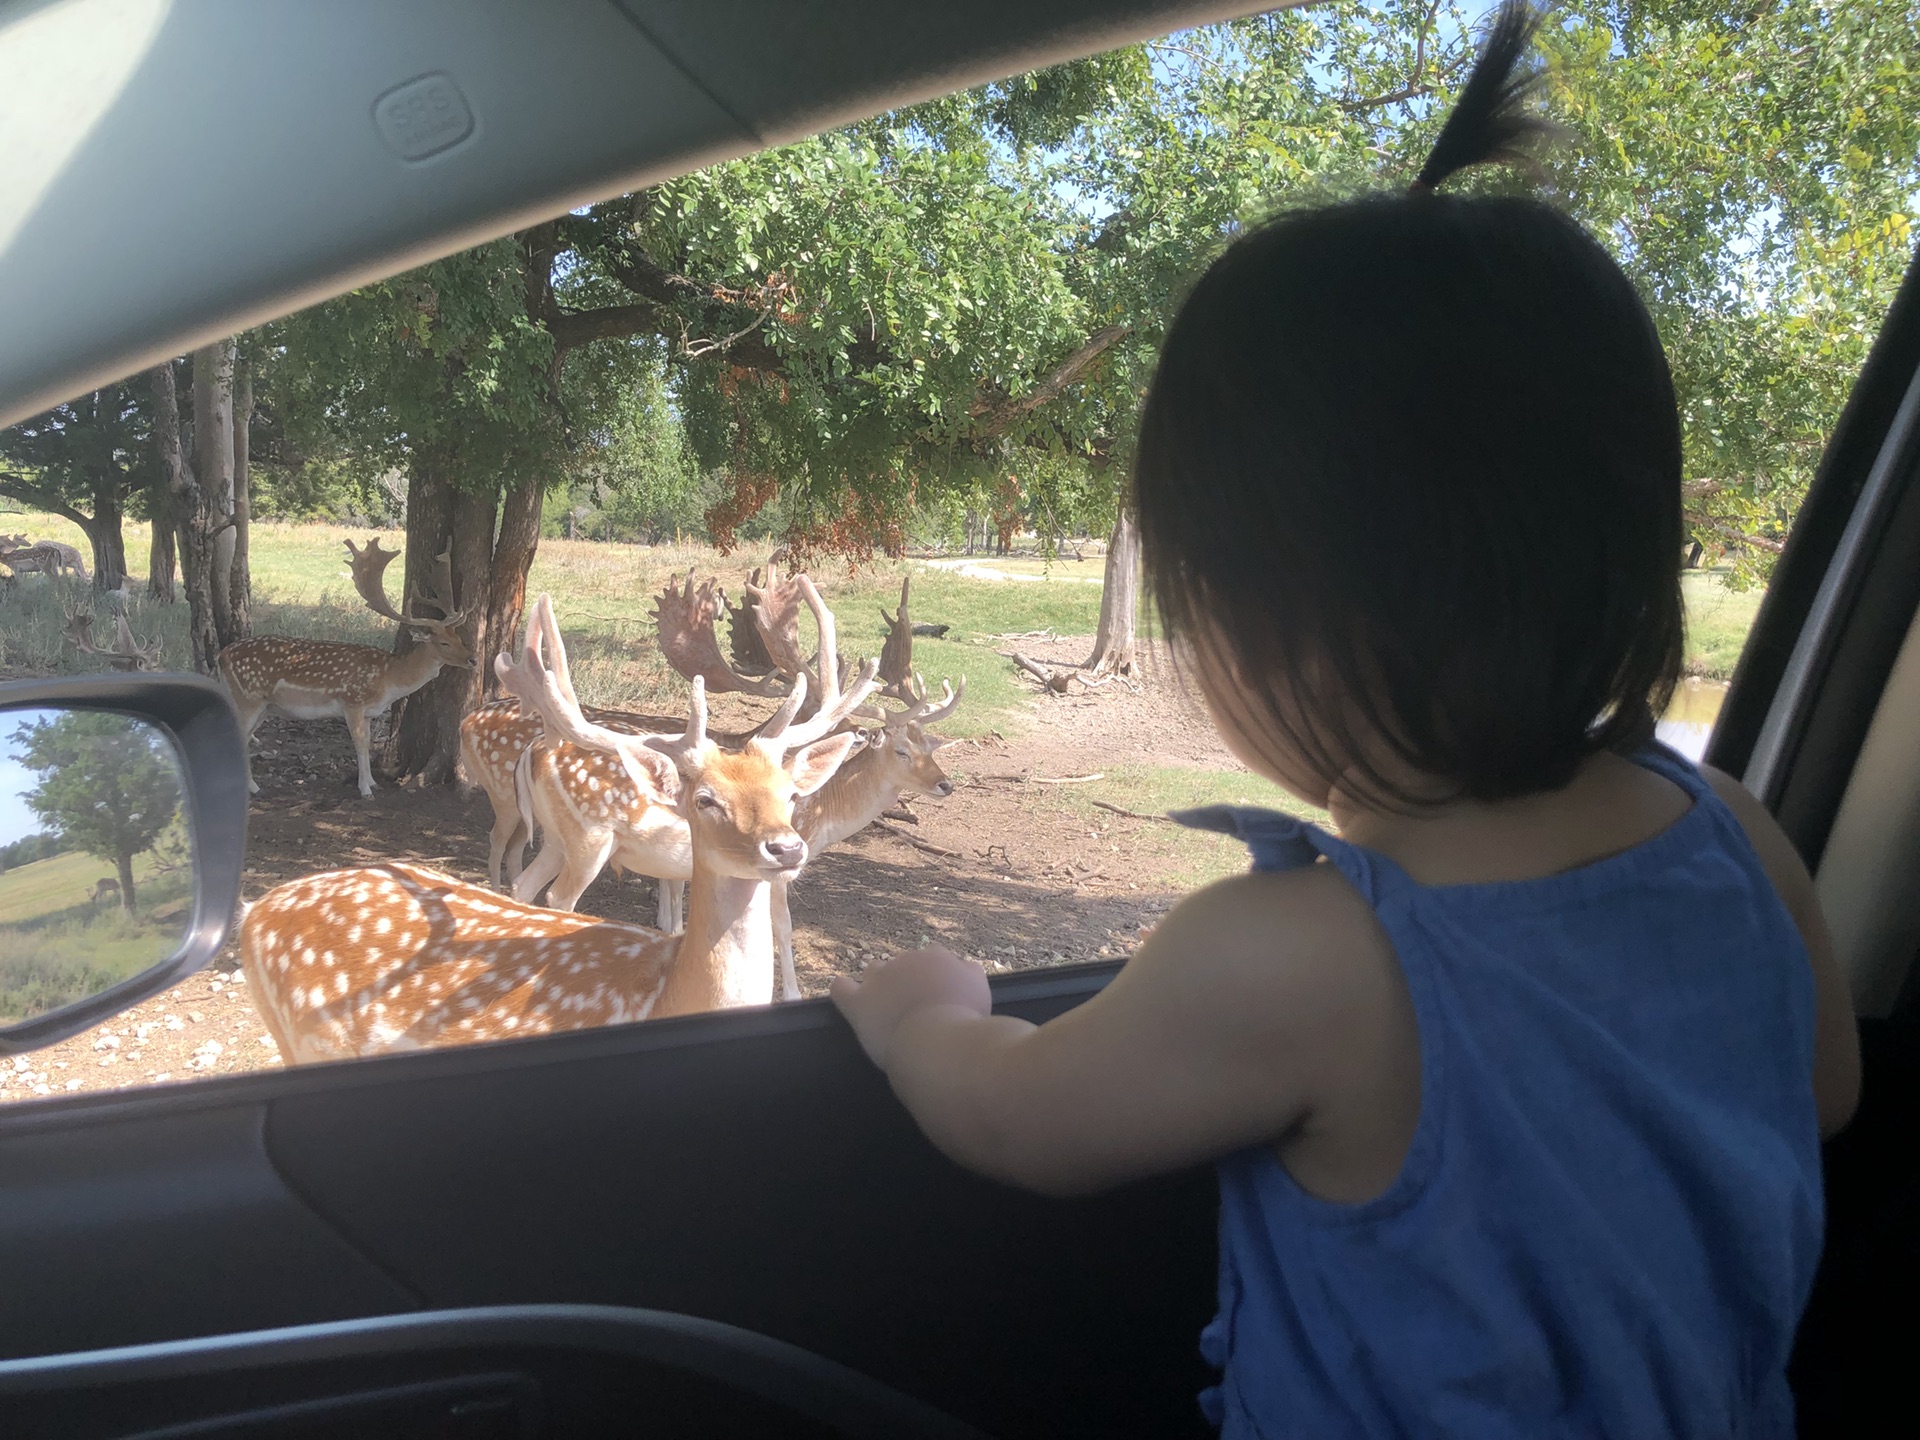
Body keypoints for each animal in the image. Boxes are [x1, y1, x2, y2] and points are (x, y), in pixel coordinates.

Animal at [216, 537, 468, 802]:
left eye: (458, 637)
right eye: (444, 643)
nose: (471, 659)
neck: (388, 679)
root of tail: (221, 655)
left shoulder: (368, 712)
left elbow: (366, 743)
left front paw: (372, 782)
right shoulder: (352, 701)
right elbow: (359, 744)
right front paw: (365, 790)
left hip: (264, 706)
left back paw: (251, 787)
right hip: (248, 698)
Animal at [236, 591, 879, 1067]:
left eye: (789, 793)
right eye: (705, 800)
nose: (787, 847)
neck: (666, 997)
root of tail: (259, 910)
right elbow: (782, 930)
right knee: (553, 891)